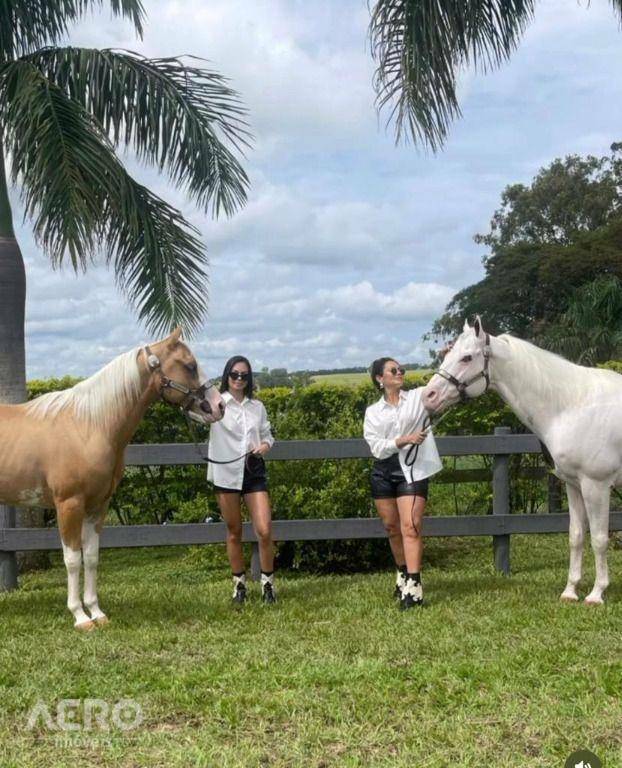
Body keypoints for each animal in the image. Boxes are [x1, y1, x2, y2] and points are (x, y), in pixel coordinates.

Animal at [0, 328, 224, 628]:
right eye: (189, 365)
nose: (219, 405)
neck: (88, 426)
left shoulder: (98, 505)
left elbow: (92, 557)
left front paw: (96, 612)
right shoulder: (69, 505)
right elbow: (73, 560)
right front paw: (80, 617)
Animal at [424, 318, 622, 608]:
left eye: (466, 357)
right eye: (448, 354)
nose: (428, 396)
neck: (574, 406)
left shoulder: (596, 486)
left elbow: (598, 539)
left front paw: (596, 594)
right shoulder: (574, 485)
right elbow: (576, 535)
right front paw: (570, 591)